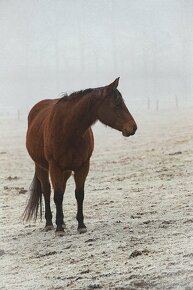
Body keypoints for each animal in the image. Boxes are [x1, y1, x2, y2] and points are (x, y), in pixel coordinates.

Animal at [23, 77, 137, 236]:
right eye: (116, 104)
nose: (133, 127)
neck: (68, 129)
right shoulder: (55, 167)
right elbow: (57, 195)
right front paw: (59, 228)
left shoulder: (83, 166)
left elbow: (79, 195)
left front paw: (81, 224)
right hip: (42, 168)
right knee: (47, 191)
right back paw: (50, 223)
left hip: (65, 171)